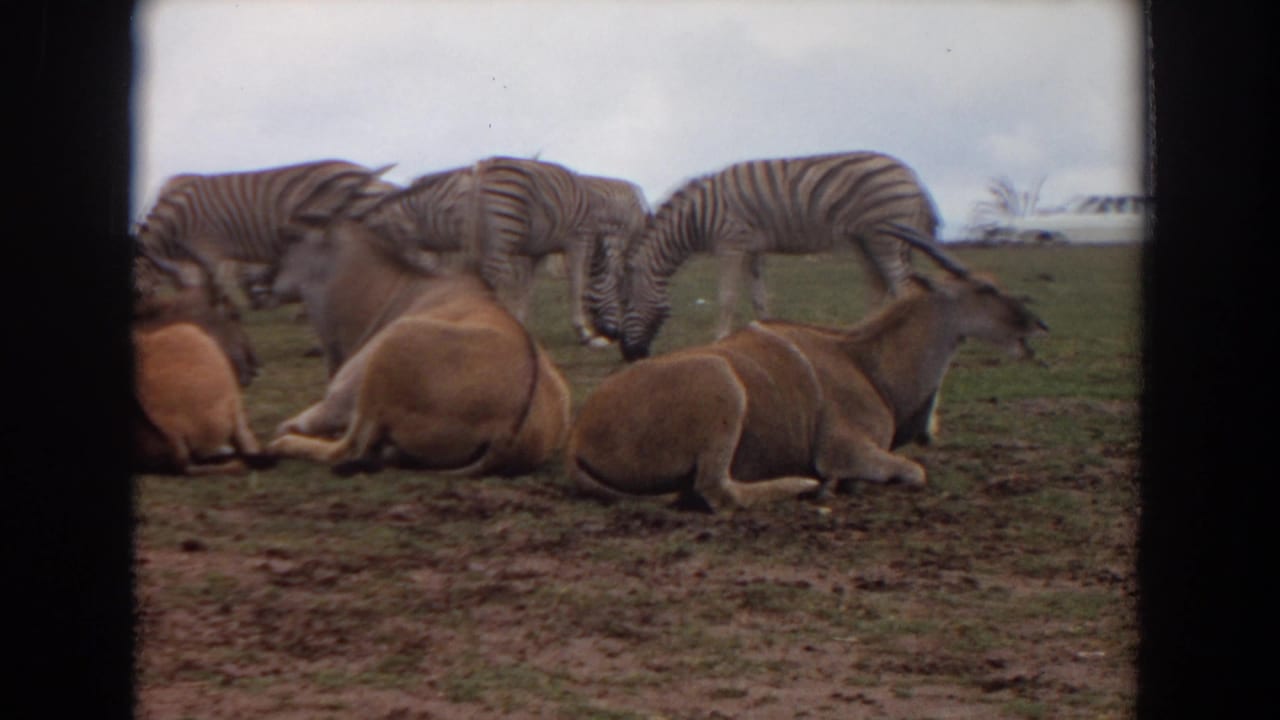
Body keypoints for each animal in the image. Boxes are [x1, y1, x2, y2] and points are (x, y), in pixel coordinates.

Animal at [595, 151, 940, 361]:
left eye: (625, 302)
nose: (629, 355)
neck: (697, 217)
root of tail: (912, 175)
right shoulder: (752, 249)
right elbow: (760, 298)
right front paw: (766, 337)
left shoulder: (731, 244)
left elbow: (727, 297)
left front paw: (719, 340)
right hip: (865, 240)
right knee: (878, 286)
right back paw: (864, 336)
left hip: (884, 237)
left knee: (902, 289)